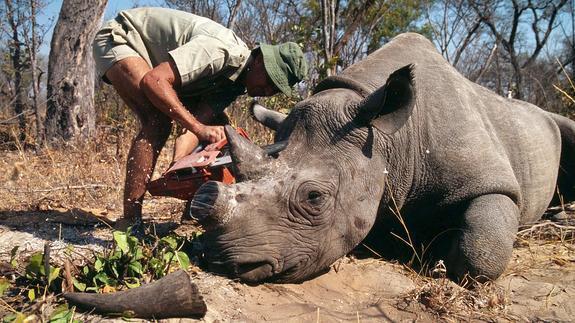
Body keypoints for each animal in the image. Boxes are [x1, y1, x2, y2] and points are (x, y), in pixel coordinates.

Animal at [194, 33, 575, 284]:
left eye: (314, 197)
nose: (226, 262)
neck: (389, 138)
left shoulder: (490, 180)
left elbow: (480, 253)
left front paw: (438, 254)